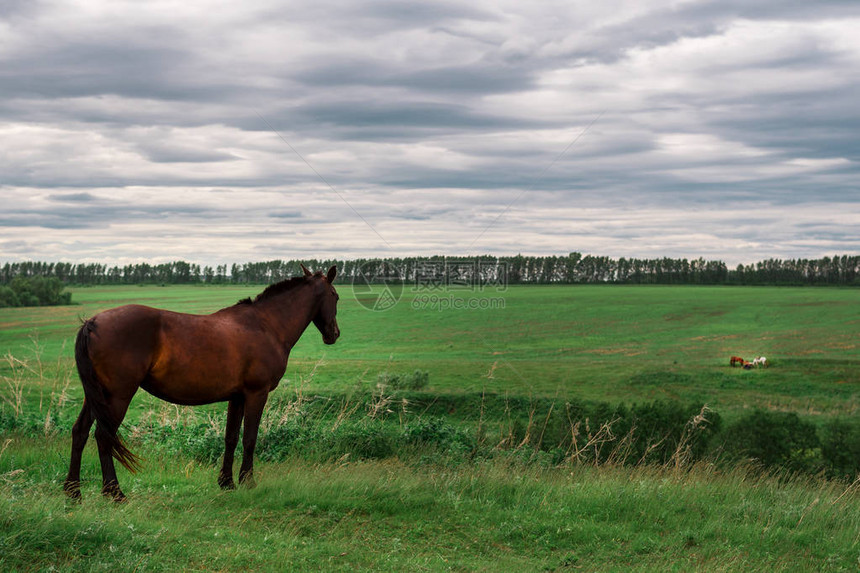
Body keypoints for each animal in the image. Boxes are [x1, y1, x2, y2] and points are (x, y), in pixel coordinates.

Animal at [63, 264, 340, 500]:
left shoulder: (237, 397)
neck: (266, 325)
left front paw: (227, 482)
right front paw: (248, 481)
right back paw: (115, 492)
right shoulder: (256, 394)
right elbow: (250, 438)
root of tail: (93, 323)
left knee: (80, 432)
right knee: (103, 436)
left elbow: (231, 437)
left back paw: (73, 492)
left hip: (96, 396)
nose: (334, 334)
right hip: (117, 396)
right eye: (335, 296)